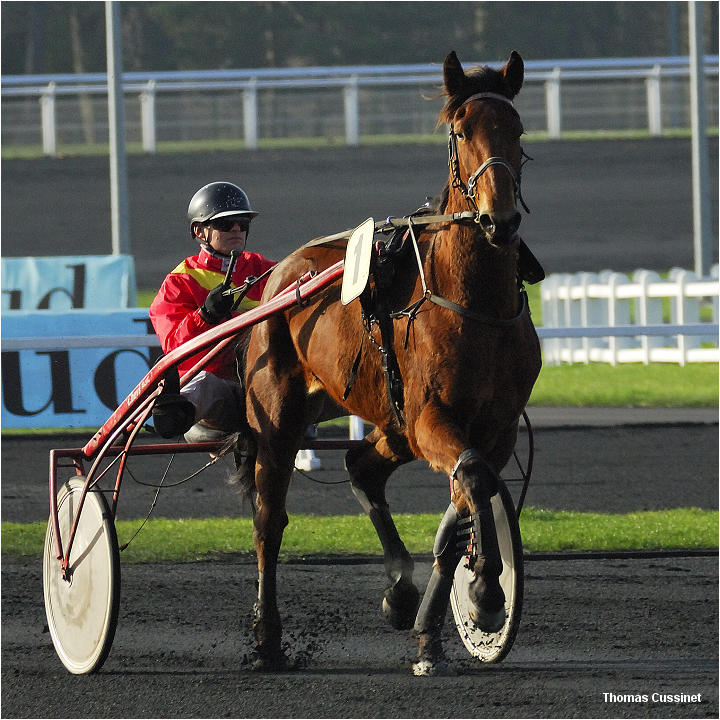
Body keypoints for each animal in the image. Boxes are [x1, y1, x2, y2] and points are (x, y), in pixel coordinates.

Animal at [242, 52, 540, 676]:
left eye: (518, 129)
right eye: (461, 131)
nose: (499, 220)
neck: (474, 304)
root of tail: (282, 274)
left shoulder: (494, 428)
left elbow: (466, 503)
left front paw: (433, 632)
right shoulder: (433, 417)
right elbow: (471, 480)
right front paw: (485, 593)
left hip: (392, 419)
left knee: (361, 464)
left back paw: (400, 591)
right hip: (280, 417)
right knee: (268, 520)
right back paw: (267, 639)